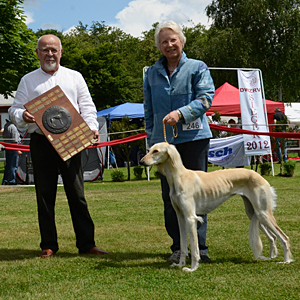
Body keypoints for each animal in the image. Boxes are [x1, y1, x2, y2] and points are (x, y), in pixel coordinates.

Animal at [140, 142, 292, 272]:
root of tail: (259, 176)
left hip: (263, 212)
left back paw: (286, 261)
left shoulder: (190, 218)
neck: (179, 177)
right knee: (273, 237)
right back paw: (271, 257)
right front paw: (180, 264)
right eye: (149, 150)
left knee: (284, 238)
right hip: (253, 213)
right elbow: (183, 246)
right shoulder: (181, 217)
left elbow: (194, 248)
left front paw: (192, 268)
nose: (141, 162)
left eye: (156, 151)